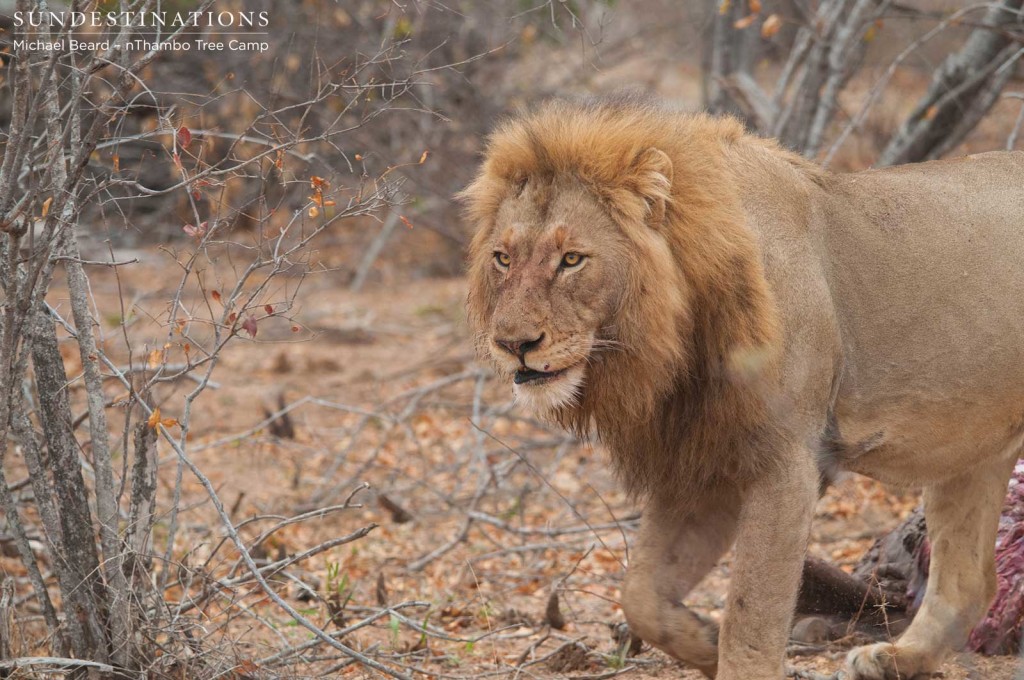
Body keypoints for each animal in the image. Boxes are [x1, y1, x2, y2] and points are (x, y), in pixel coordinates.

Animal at [460, 91, 1024, 680]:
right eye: (503, 258)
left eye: (571, 259)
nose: (513, 343)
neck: (672, 344)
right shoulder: (700, 461)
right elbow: (640, 595)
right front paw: (707, 645)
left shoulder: (788, 461)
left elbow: (752, 611)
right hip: (970, 448)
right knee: (970, 581)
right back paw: (893, 658)